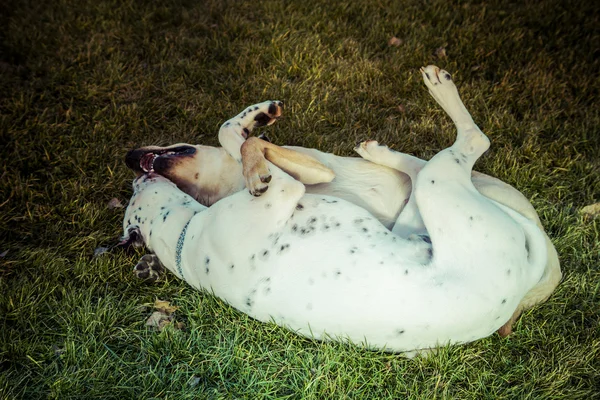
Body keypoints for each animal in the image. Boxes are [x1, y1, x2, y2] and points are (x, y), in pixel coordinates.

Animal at [122, 66, 564, 354]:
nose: (131, 161)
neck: (188, 235)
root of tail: (530, 274)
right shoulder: (290, 184)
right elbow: (240, 139)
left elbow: (240, 138)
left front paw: (258, 123)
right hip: (440, 191)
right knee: (470, 143)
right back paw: (431, 95)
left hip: (417, 211)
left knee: (421, 167)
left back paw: (381, 148)